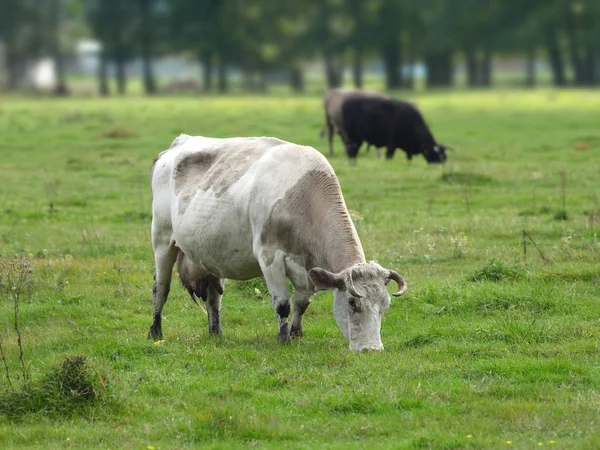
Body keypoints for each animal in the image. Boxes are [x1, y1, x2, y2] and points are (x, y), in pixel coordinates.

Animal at [149, 134, 408, 352]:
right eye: (353, 303)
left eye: (384, 306)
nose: (372, 350)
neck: (303, 198)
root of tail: (180, 142)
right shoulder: (269, 257)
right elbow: (282, 303)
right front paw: (283, 339)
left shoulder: (306, 267)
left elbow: (302, 303)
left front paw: (296, 333)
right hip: (162, 239)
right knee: (161, 288)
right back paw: (155, 332)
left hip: (211, 256)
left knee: (214, 299)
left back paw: (216, 333)